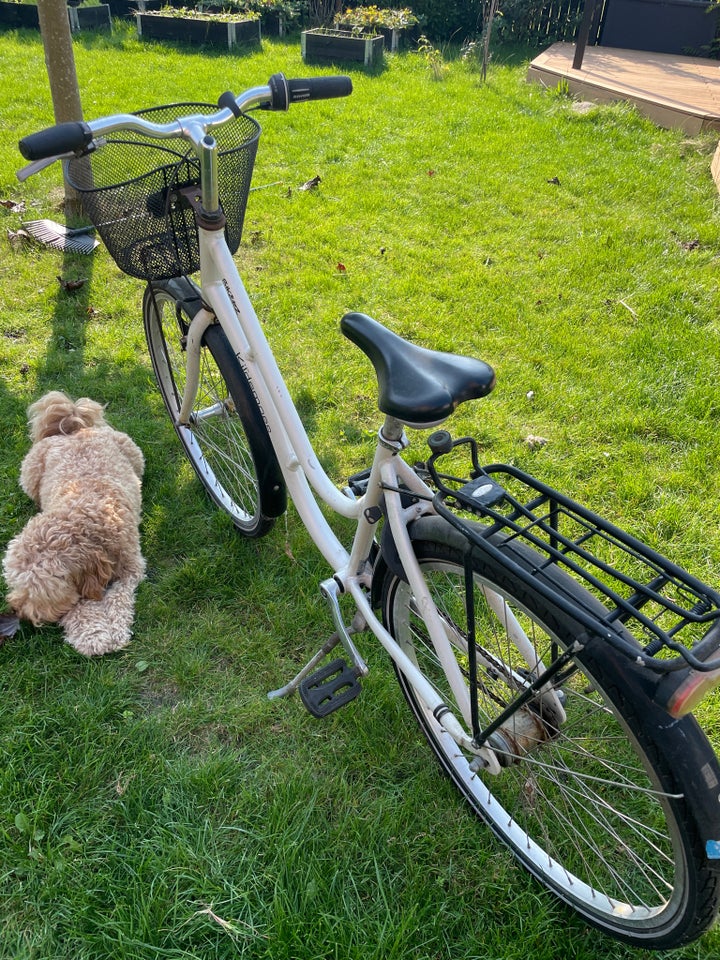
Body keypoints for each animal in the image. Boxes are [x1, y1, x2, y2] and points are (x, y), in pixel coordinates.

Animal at [3, 390, 146, 652]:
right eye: (15, 584)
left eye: (37, 594)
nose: (17, 611)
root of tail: (73, 431)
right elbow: (79, 607)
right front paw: (92, 635)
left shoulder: (131, 569)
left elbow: (118, 600)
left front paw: (115, 631)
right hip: (29, 474)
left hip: (135, 455)